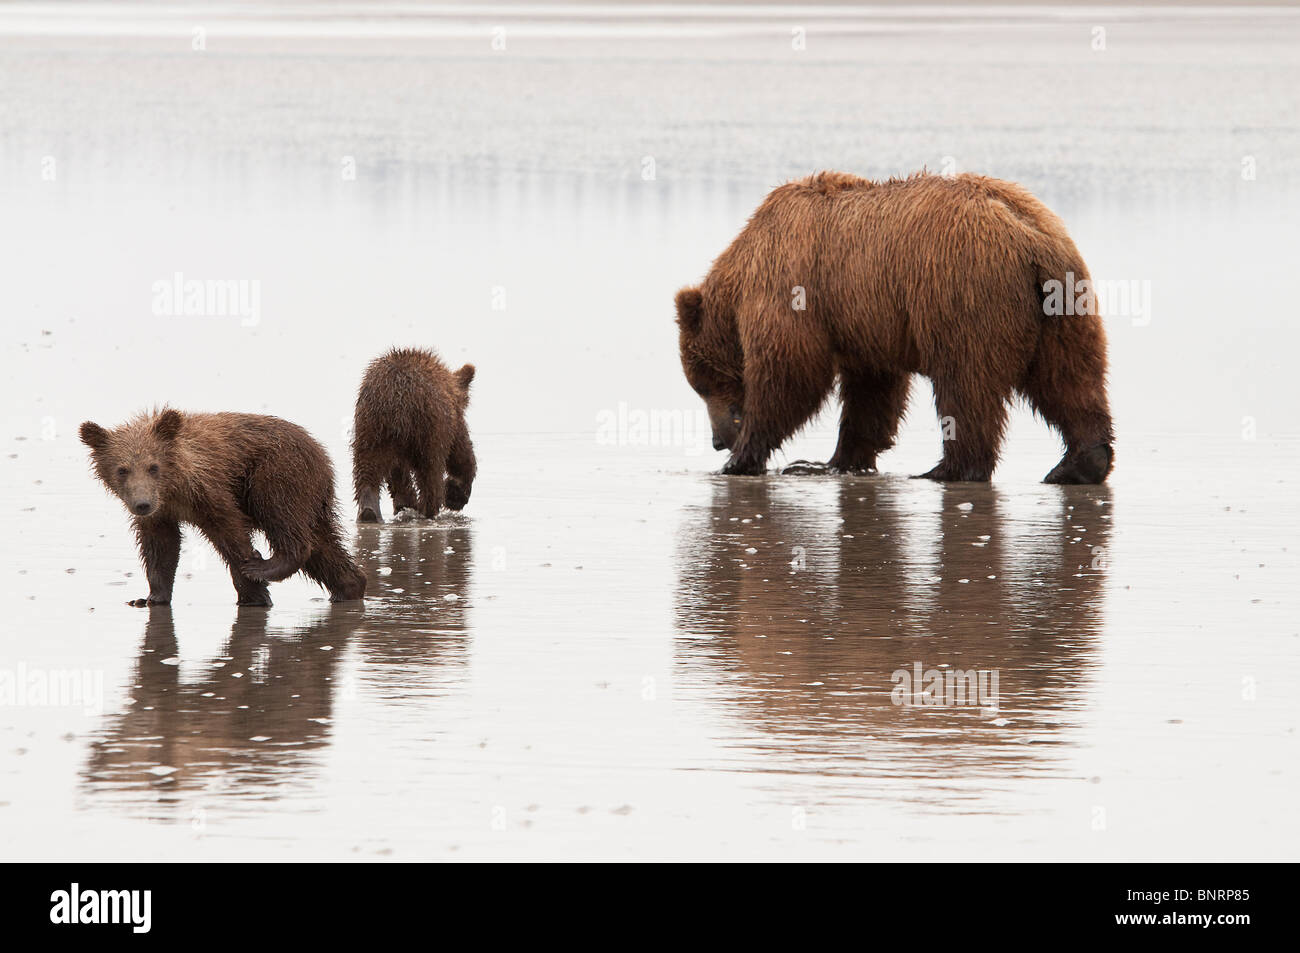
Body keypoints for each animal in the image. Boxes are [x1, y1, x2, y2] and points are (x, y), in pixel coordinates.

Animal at [79, 408, 367, 607]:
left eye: (153, 466)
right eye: (122, 469)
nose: (142, 504)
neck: (175, 489)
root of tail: (322, 454)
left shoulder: (212, 490)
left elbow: (231, 532)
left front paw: (253, 589)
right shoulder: (161, 514)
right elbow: (160, 547)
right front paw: (150, 597)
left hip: (277, 472)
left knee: (282, 515)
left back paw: (268, 565)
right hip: (312, 498)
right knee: (324, 545)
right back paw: (349, 586)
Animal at [351, 347, 477, 522]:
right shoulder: (451, 420)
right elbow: (461, 452)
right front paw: (456, 495)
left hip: (371, 428)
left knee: (367, 467)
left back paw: (371, 512)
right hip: (428, 429)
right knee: (431, 474)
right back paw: (428, 510)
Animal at [675, 171, 1114, 483]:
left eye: (704, 384)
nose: (717, 441)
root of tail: (1029, 237)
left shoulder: (793, 289)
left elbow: (790, 374)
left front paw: (744, 457)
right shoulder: (864, 321)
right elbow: (872, 391)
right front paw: (834, 461)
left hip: (963, 292)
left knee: (965, 386)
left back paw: (947, 469)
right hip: (1063, 306)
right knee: (1070, 380)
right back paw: (1079, 464)